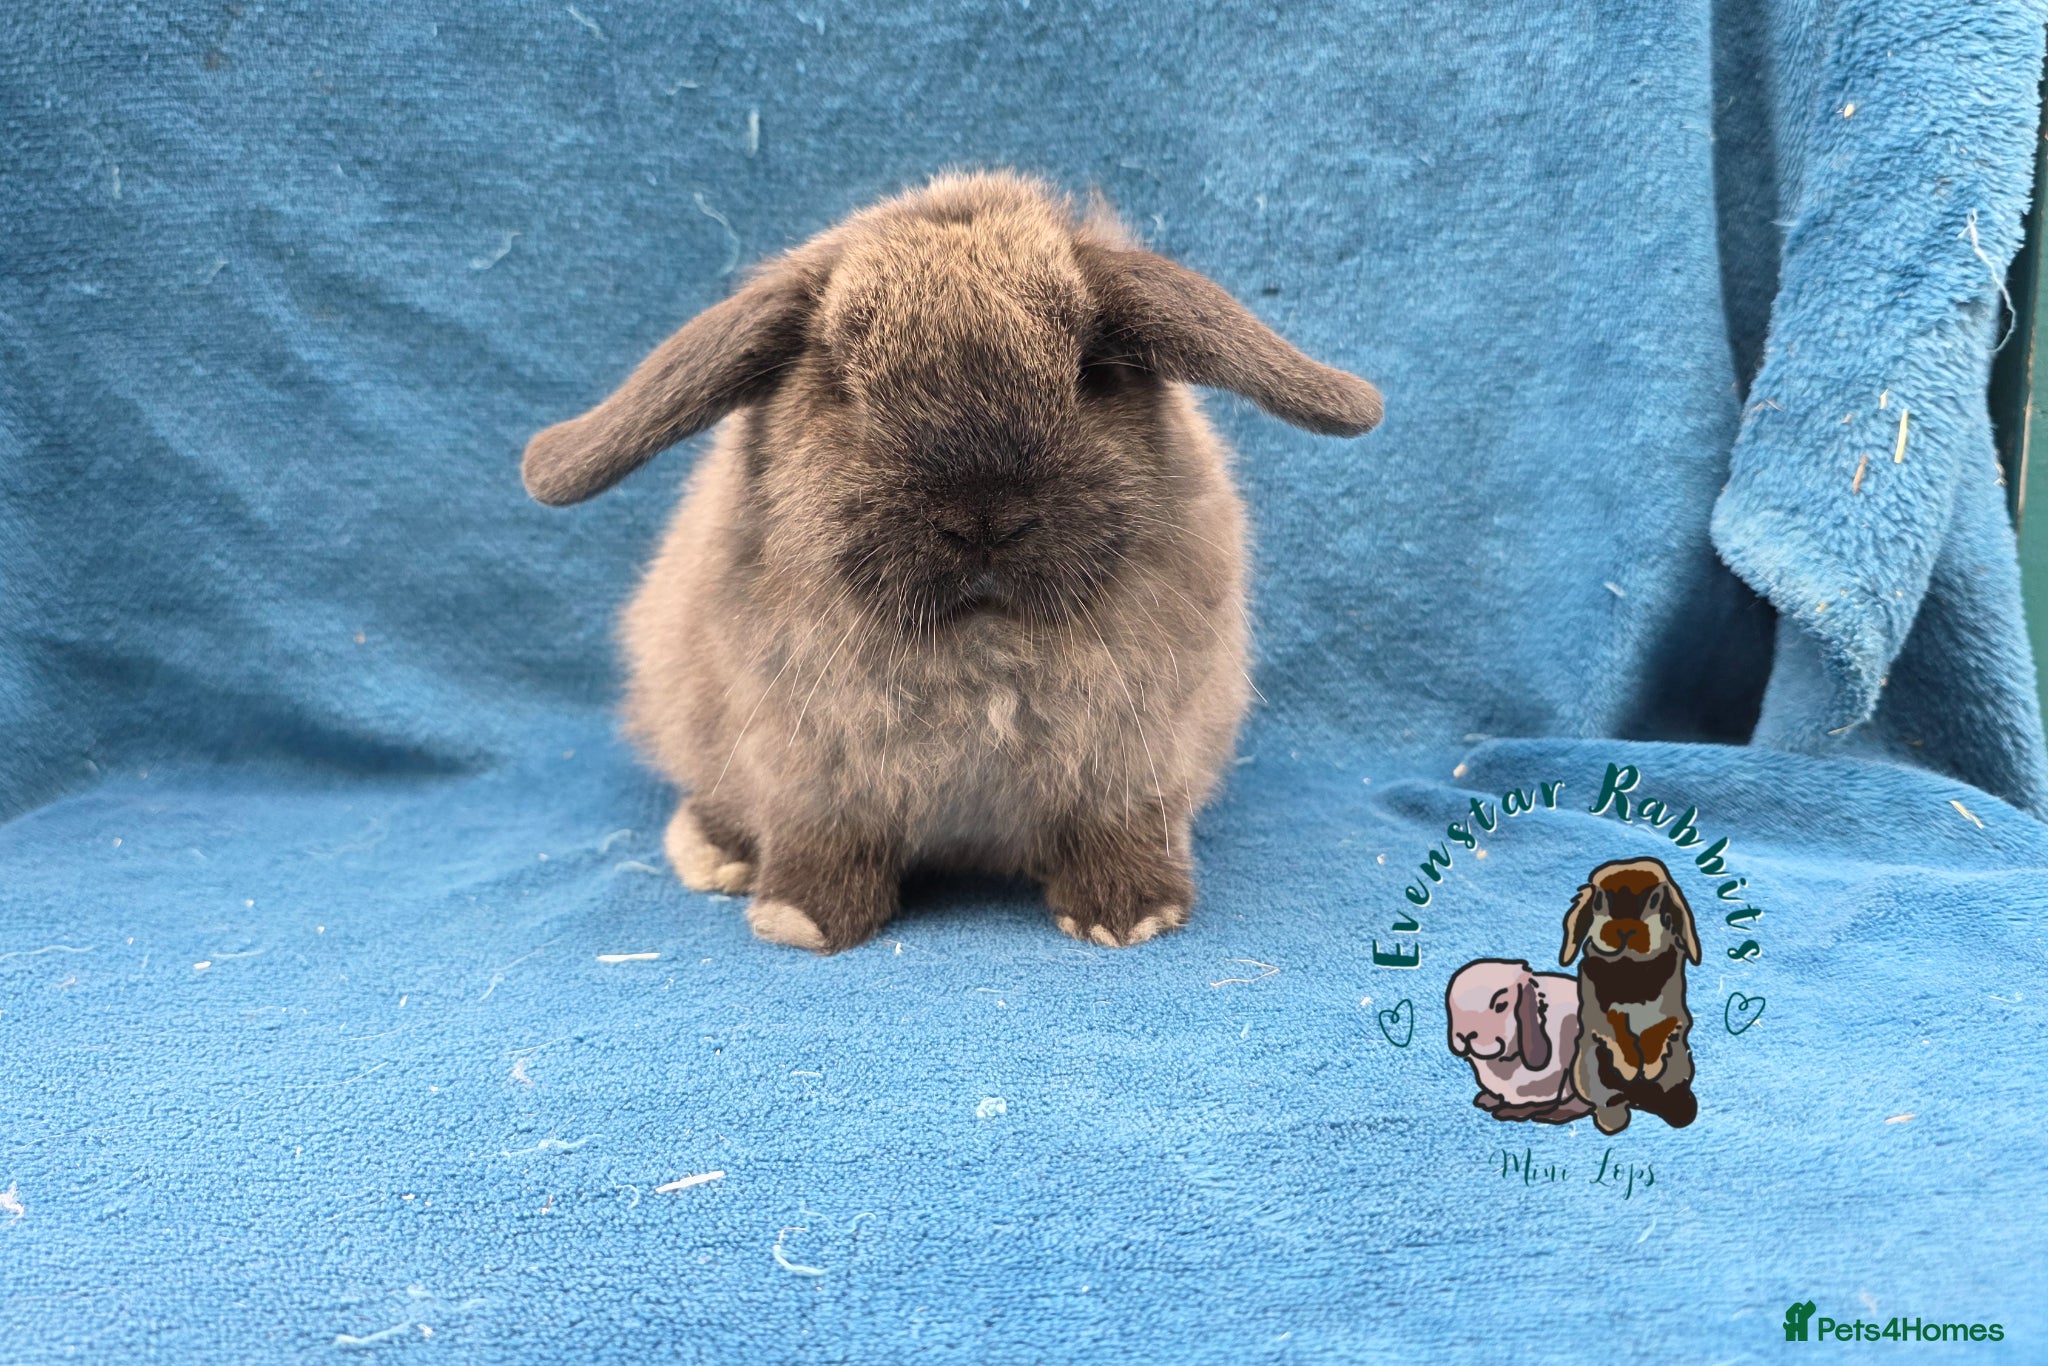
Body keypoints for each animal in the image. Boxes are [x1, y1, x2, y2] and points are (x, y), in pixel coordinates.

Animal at [522, 170, 1382, 953]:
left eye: (1092, 370)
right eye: (841, 382)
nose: (982, 518)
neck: (983, 638)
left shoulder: (1136, 767)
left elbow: (1119, 830)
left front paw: (1128, 914)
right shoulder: (806, 771)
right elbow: (821, 842)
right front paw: (802, 919)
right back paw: (717, 856)